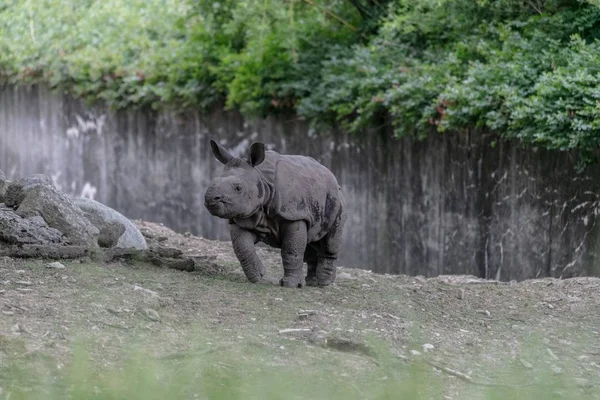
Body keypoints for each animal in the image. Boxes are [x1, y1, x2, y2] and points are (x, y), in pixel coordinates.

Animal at [205, 141, 346, 288]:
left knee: (329, 243)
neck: (262, 179)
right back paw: (312, 283)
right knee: (312, 242)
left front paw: (290, 285)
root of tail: (333, 177)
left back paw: (324, 283)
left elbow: (291, 250)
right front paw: (258, 277)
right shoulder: (244, 215)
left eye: (238, 188)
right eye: (213, 180)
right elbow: (243, 248)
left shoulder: (295, 214)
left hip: (337, 200)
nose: (210, 199)